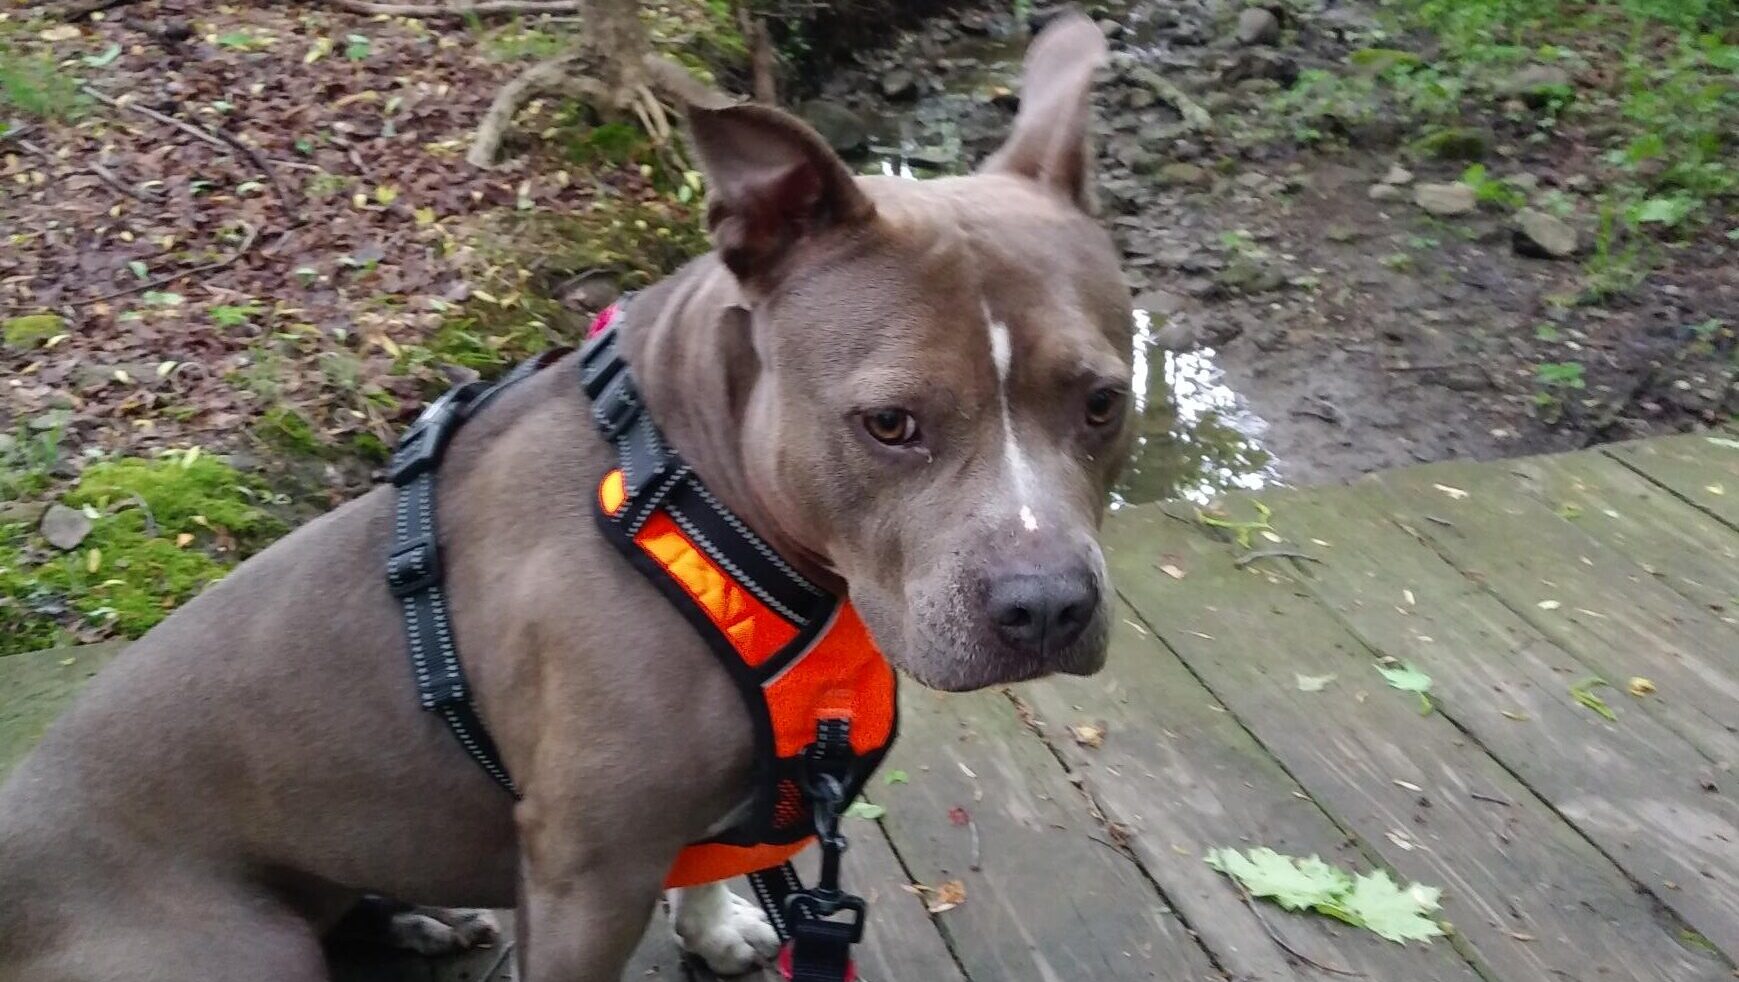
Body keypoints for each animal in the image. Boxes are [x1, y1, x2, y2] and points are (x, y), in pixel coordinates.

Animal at [0, 15, 1133, 980]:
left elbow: (711, 863)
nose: (1046, 607)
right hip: (236, 944)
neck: (693, 481)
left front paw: (715, 927)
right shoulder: (587, 868)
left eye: (1103, 402)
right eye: (889, 423)